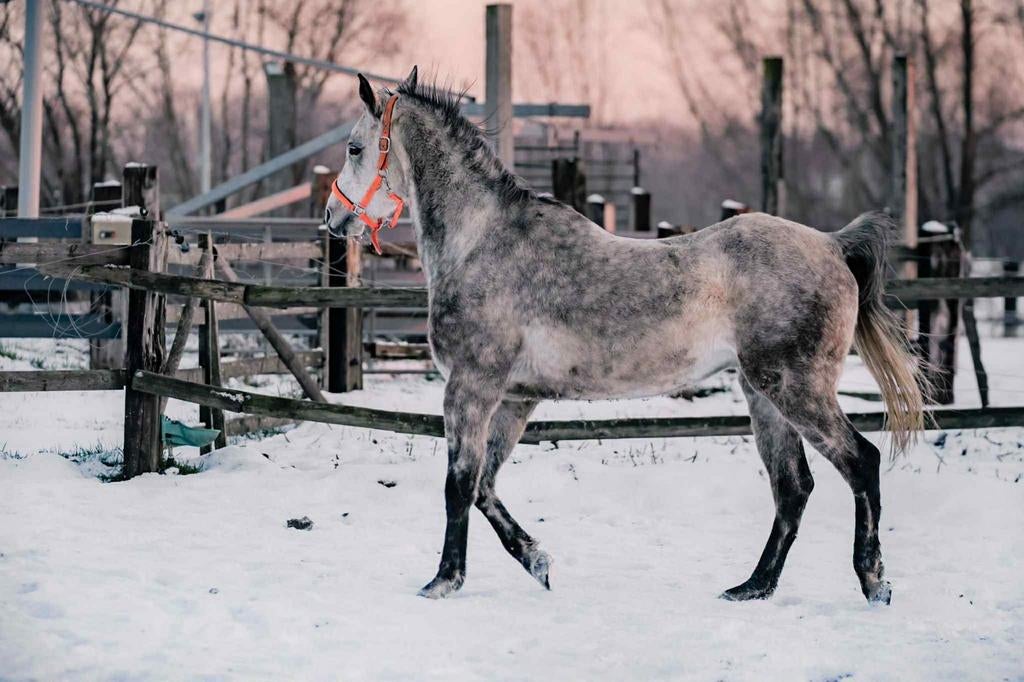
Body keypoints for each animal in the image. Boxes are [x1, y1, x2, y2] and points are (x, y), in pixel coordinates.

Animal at [324, 67, 925, 604]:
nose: (333, 216)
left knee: (860, 463)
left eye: (353, 148)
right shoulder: (515, 399)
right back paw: (752, 587)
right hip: (763, 394)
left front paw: (444, 582)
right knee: (793, 488)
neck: (482, 242)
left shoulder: (471, 389)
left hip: (795, 389)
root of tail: (832, 245)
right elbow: (484, 488)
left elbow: (459, 485)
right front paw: (538, 562)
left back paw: (873, 581)